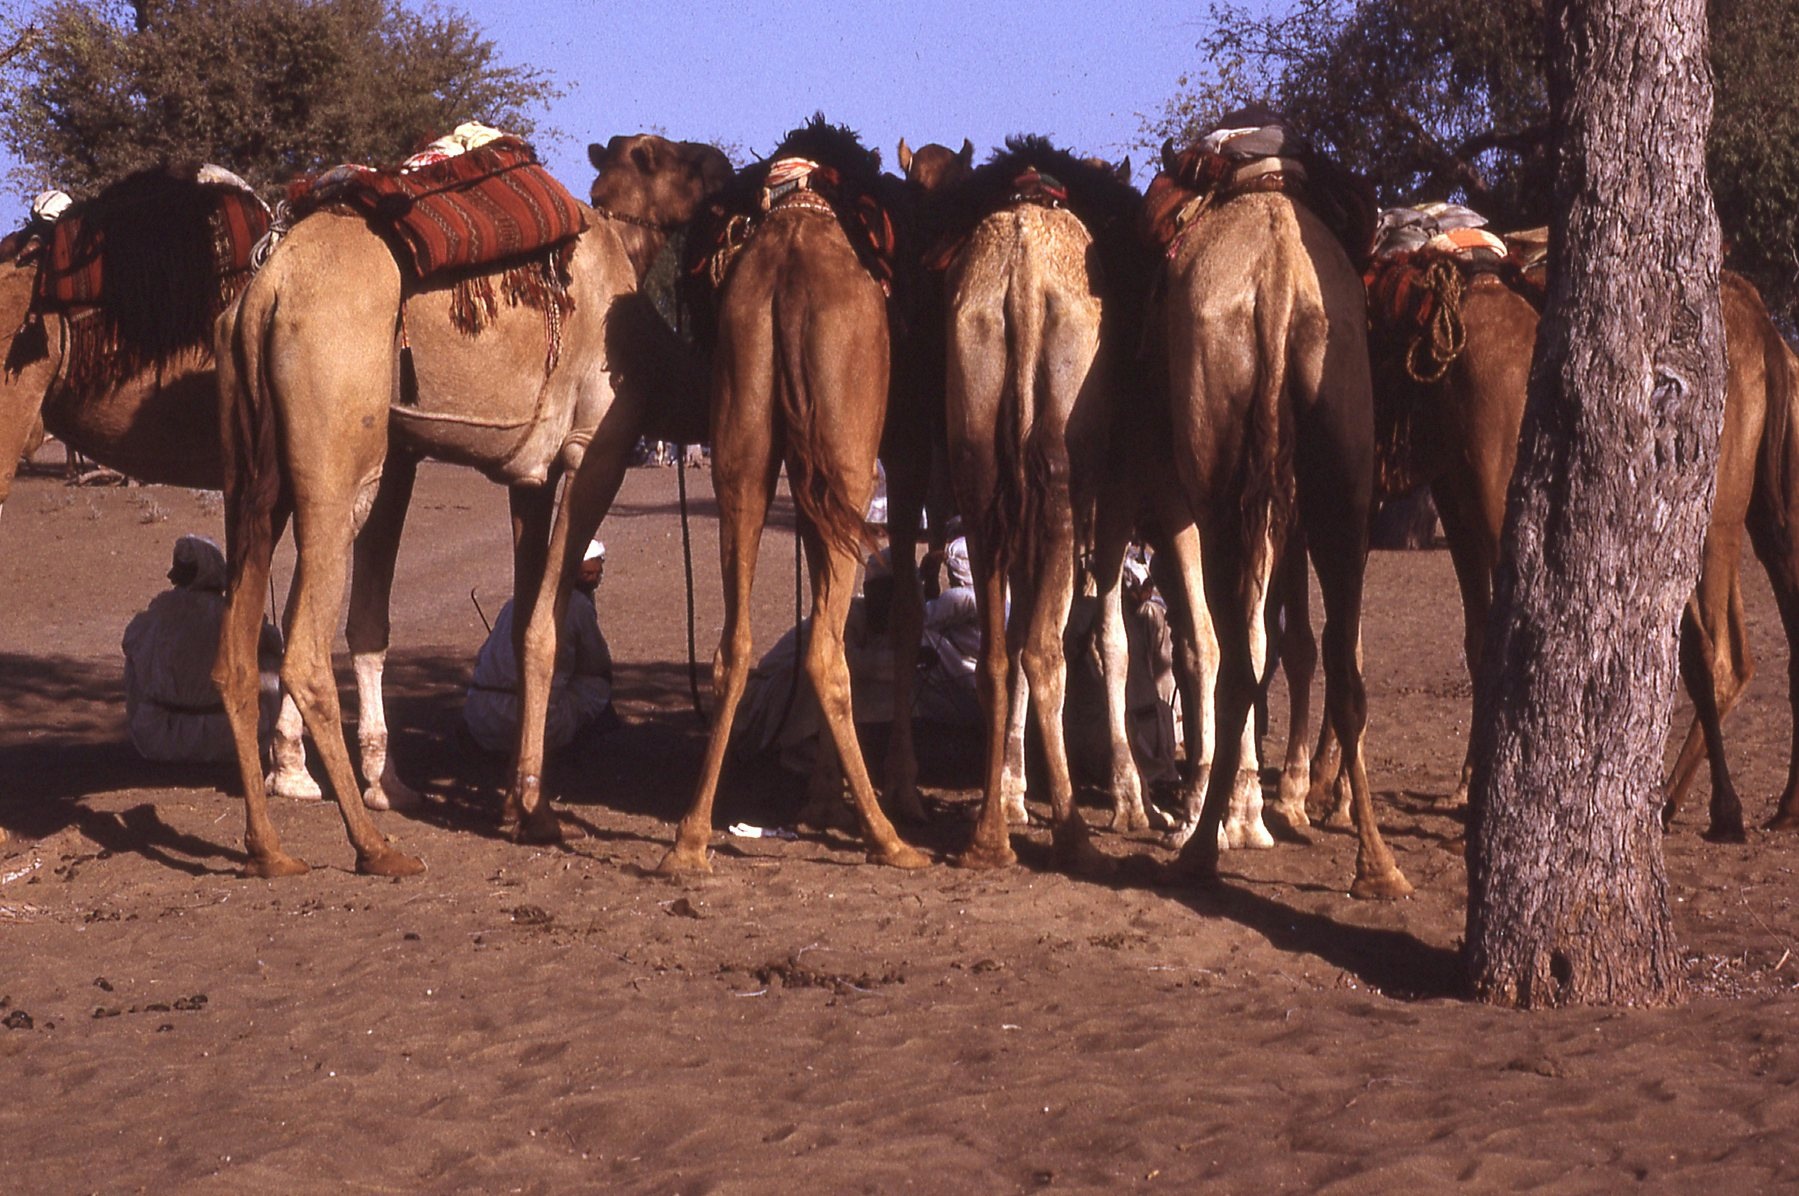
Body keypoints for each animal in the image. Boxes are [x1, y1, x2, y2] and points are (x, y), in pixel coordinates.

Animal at [211, 134, 730, 877]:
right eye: (667, 156)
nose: (724, 165)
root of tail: (266, 292)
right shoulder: (595, 448)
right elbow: (544, 628)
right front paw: (537, 813)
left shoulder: (530, 476)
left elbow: (521, 625)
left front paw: (515, 804)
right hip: (339, 457)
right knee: (304, 647)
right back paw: (374, 847)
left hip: (254, 475)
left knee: (236, 645)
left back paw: (269, 848)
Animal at [658, 117, 927, 873]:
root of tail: (788, 263)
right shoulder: (904, 460)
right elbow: (905, 614)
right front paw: (896, 791)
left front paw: (818, 800)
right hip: (848, 450)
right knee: (825, 651)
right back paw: (889, 839)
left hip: (744, 432)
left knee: (735, 643)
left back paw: (690, 839)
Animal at [1152, 135, 1413, 899]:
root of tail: (1275, 283)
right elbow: (1298, 643)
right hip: (1342, 468)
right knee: (1342, 664)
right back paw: (1377, 866)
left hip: (1217, 484)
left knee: (1235, 658)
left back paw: (1201, 849)